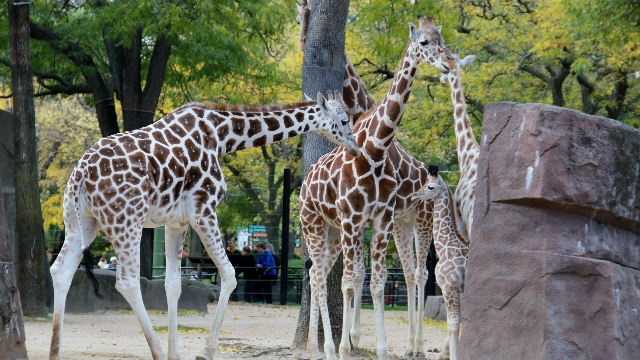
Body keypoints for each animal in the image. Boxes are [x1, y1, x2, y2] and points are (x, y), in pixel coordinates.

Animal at [48, 93, 360, 360]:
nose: (355, 146)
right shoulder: (204, 210)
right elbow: (230, 275)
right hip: (127, 220)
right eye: (344, 120)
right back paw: (156, 350)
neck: (223, 135)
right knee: (126, 280)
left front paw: (176, 353)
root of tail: (80, 174)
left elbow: (173, 285)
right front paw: (205, 351)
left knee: (60, 270)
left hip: (82, 222)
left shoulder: (176, 221)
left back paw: (55, 352)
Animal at [412, 167, 468, 360]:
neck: (444, 247)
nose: (414, 195)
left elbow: (453, 325)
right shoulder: (457, 290)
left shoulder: (449, 287)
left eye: (430, 186)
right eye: (423, 182)